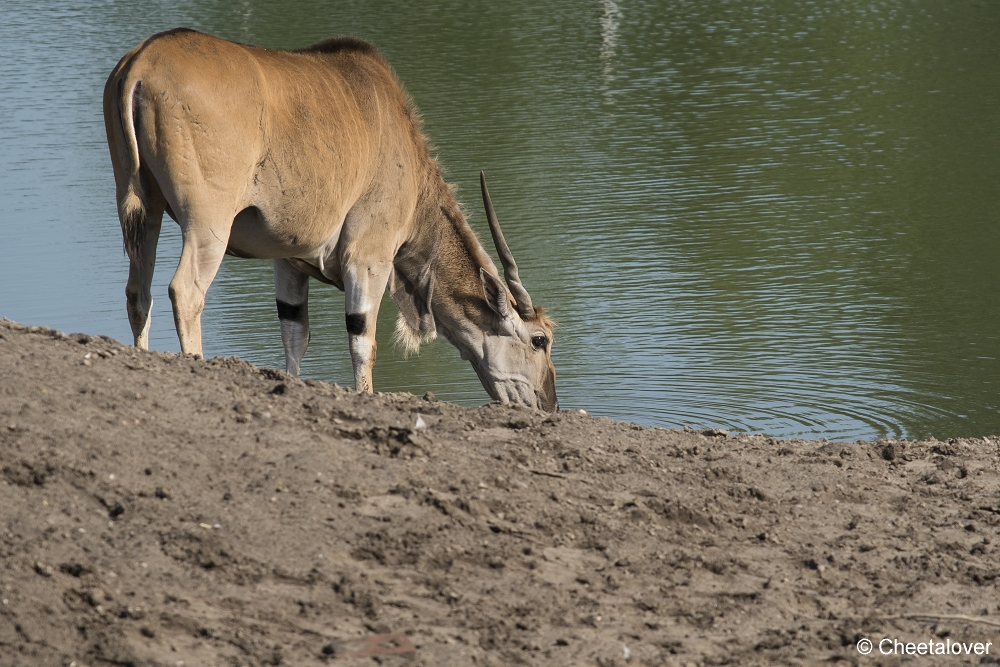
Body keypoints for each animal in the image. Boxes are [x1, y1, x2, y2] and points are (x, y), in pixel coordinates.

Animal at [105, 28, 560, 412]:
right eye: (540, 340)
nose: (549, 404)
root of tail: (142, 63)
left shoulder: (288, 262)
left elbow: (294, 335)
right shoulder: (369, 258)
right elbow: (363, 340)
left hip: (144, 214)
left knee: (137, 293)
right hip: (206, 227)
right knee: (185, 291)